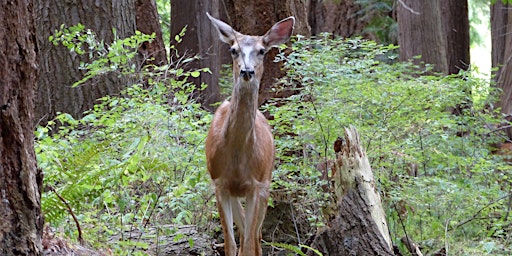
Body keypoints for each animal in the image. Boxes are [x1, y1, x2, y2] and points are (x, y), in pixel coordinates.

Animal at [203, 13, 292, 256]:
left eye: (262, 50)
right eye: (233, 49)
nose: (247, 71)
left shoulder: (256, 186)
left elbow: (250, 242)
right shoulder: (219, 183)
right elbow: (231, 243)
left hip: (267, 180)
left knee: (256, 236)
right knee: (244, 232)